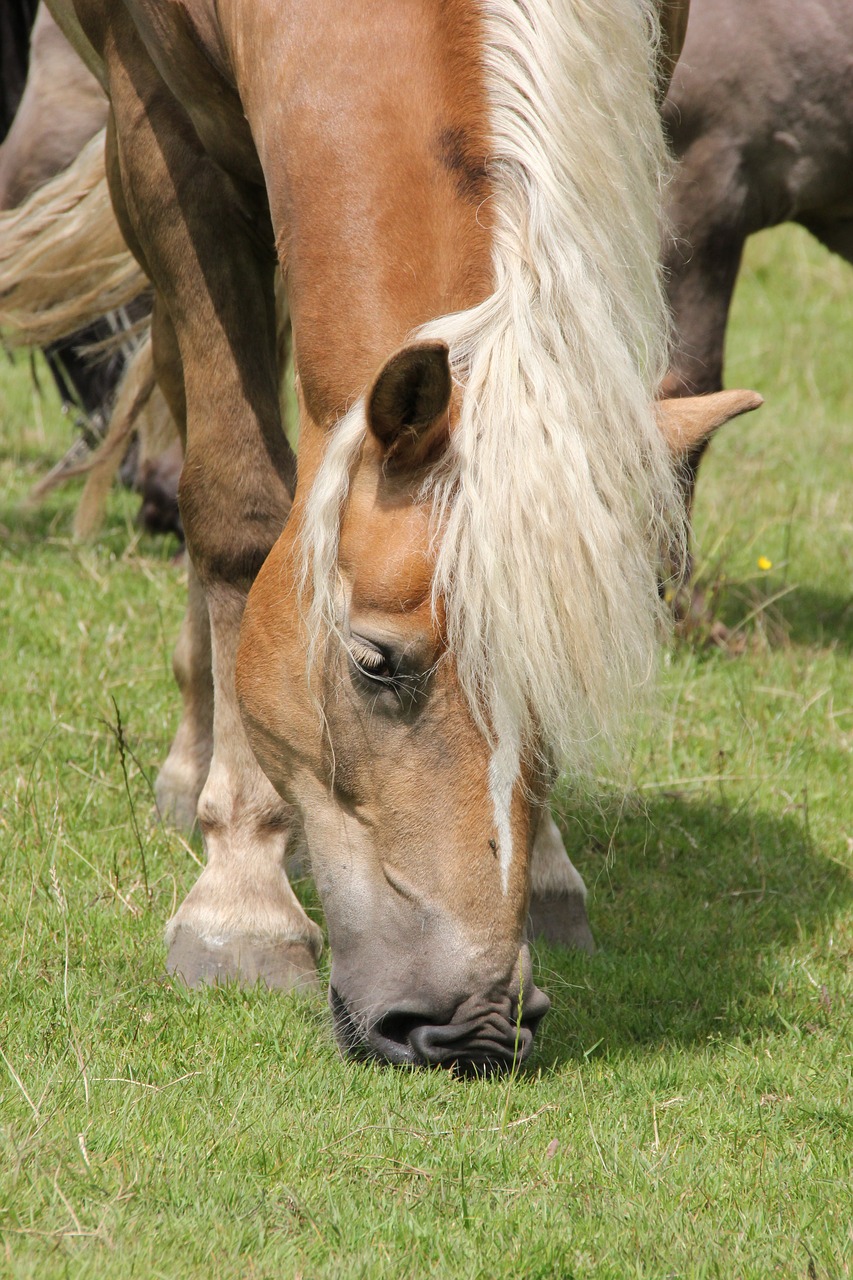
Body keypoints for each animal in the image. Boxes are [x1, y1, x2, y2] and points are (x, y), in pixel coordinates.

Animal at [44, 0, 753, 1070]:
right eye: (377, 663)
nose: (475, 1027)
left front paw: (548, 872)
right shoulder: (163, 134)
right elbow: (238, 514)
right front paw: (239, 905)